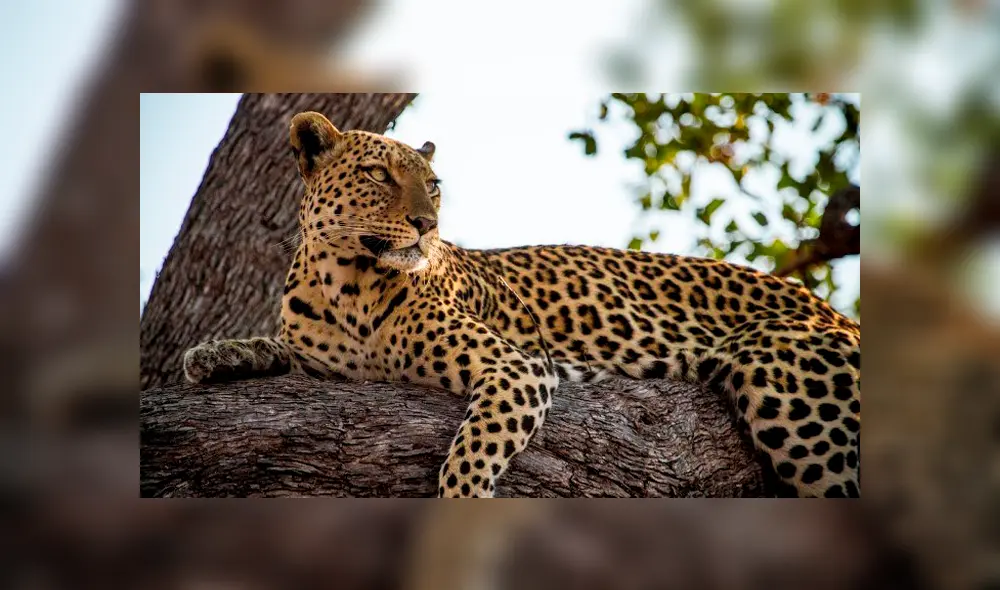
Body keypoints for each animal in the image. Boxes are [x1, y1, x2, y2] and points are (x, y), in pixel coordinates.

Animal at [183, 111, 861, 498]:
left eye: (433, 186)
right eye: (378, 175)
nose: (427, 225)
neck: (345, 281)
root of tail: (834, 311)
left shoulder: (517, 366)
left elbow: (471, 455)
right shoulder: (324, 363)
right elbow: (275, 348)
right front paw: (214, 357)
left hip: (792, 394)